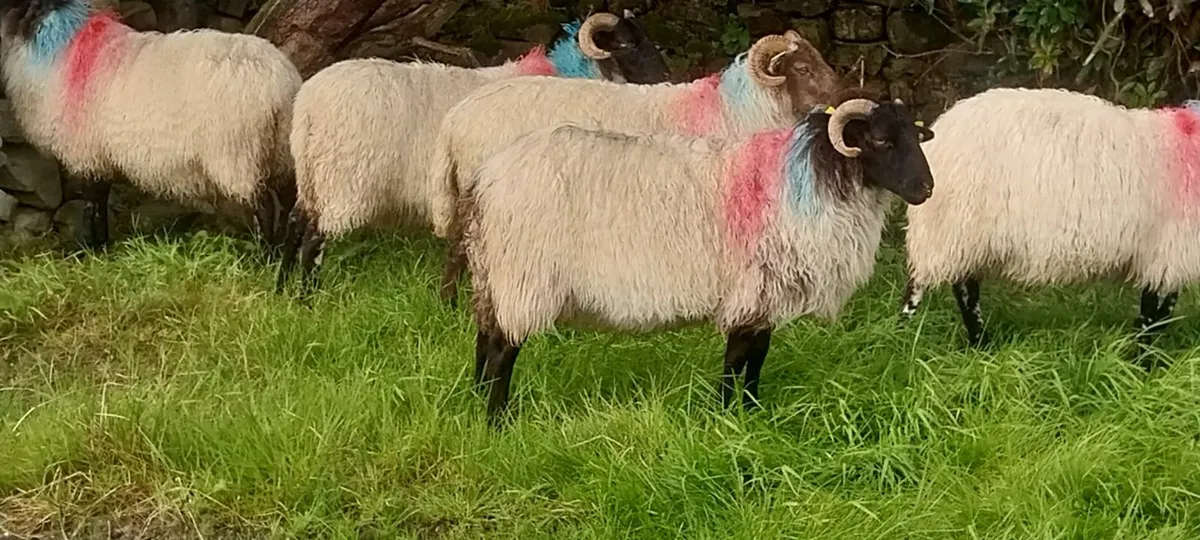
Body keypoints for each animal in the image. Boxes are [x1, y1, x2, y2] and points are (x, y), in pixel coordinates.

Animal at [0, 0, 301, 254]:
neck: (62, 45)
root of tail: (282, 84)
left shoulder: (86, 153)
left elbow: (92, 203)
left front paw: (89, 250)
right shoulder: (99, 155)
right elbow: (100, 199)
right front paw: (102, 246)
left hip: (239, 155)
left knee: (264, 208)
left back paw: (264, 257)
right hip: (280, 154)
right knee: (287, 202)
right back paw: (281, 252)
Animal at [274, 11, 669, 296]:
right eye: (626, 43)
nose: (665, 77)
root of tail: (307, 103)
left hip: (313, 173)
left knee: (296, 222)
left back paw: (282, 287)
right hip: (342, 177)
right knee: (315, 235)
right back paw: (306, 296)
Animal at [432, 30, 844, 306]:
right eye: (803, 67)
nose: (846, 96)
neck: (734, 112)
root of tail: (455, 119)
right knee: (461, 248)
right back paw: (451, 302)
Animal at [464, 98, 936, 424]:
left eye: (916, 138)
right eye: (880, 140)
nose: (926, 189)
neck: (812, 177)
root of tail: (487, 177)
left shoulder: (762, 296)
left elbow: (757, 356)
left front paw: (752, 410)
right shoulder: (750, 291)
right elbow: (737, 357)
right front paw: (727, 413)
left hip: (490, 273)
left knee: (484, 338)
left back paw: (473, 402)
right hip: (521, 275)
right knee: (504, 349)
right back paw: (497, 420)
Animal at [898, 87, 1200, 361]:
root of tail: (944, 125)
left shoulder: (1167, 255)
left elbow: (1160, 313)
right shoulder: (1166, 251)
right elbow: (1153, 316)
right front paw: (1142, 365)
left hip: (965, 237)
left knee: (966, 290)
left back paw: (981, 345)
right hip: (947, 229)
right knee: (928, 288)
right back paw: (902, 336)